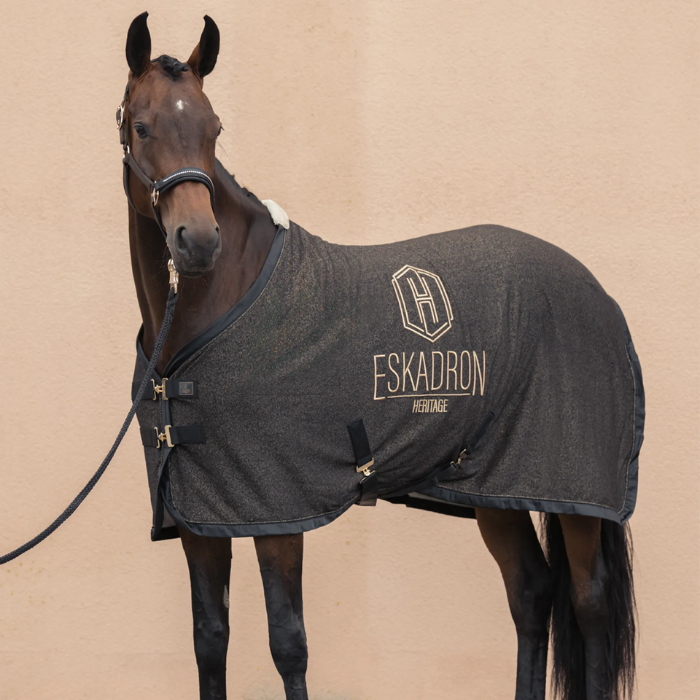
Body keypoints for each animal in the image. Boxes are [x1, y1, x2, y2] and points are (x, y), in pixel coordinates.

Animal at [120, 12, 640, 700]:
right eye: (141, 125)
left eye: (214, 129)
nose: (199, 242)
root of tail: (600, 296)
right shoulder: (200, 513)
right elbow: (210, 640)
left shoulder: (279, 506)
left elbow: (288, 643)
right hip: (493, 485)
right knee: (531, 591)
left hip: (572, 491)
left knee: (588, 602)